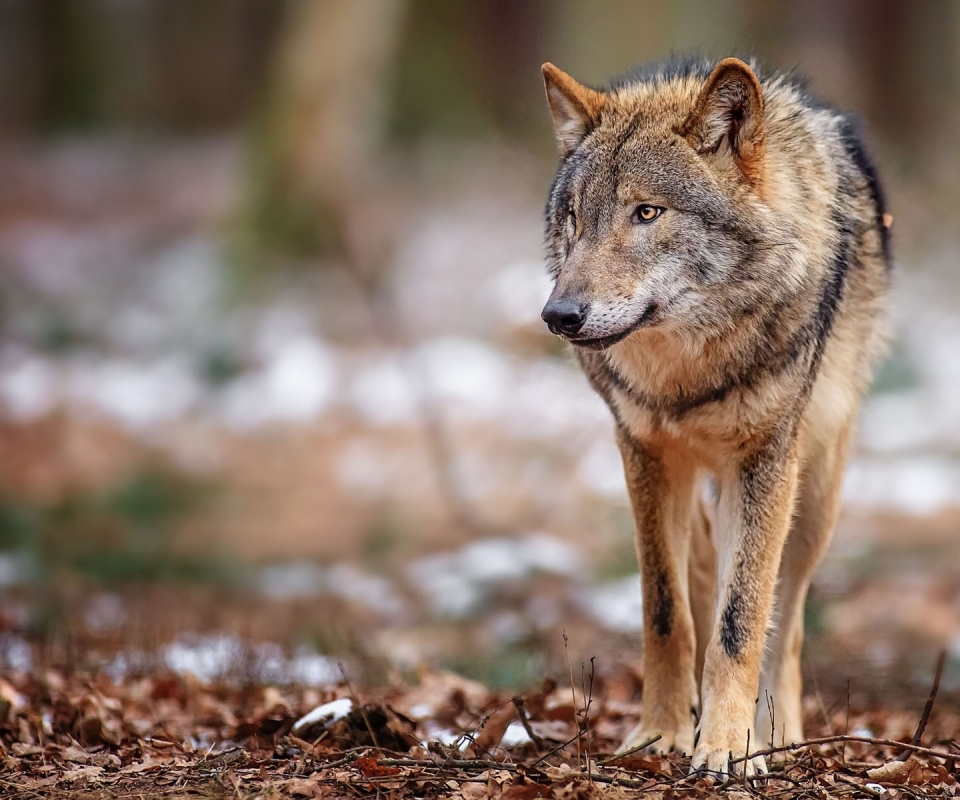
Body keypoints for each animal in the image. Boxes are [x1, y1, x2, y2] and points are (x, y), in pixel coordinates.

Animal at [540, 57, 892, 780]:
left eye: (647, 212)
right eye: (575, 218)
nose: (558, 315)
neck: (689, 374)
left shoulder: (765, 461)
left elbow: (743, 618)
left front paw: (731, 746)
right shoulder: (644, 454)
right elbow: (665, 611)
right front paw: (662, 734)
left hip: (814, 495)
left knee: (787, 619)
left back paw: (776, 731)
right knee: (701, 576)